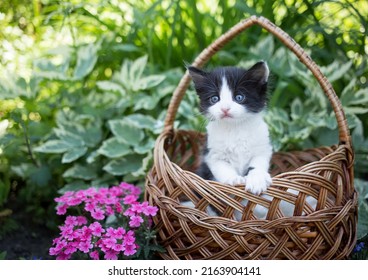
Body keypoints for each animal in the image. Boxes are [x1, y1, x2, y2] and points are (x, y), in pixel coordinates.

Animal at [188, 61, 272, 195]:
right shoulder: (212, 154)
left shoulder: (263, 148)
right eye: (214, 99)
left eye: (239, 97)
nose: (225, 108)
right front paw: (233, 179)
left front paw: (257, 180)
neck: (235, 128)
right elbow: (223, 167)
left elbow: (257, 164)